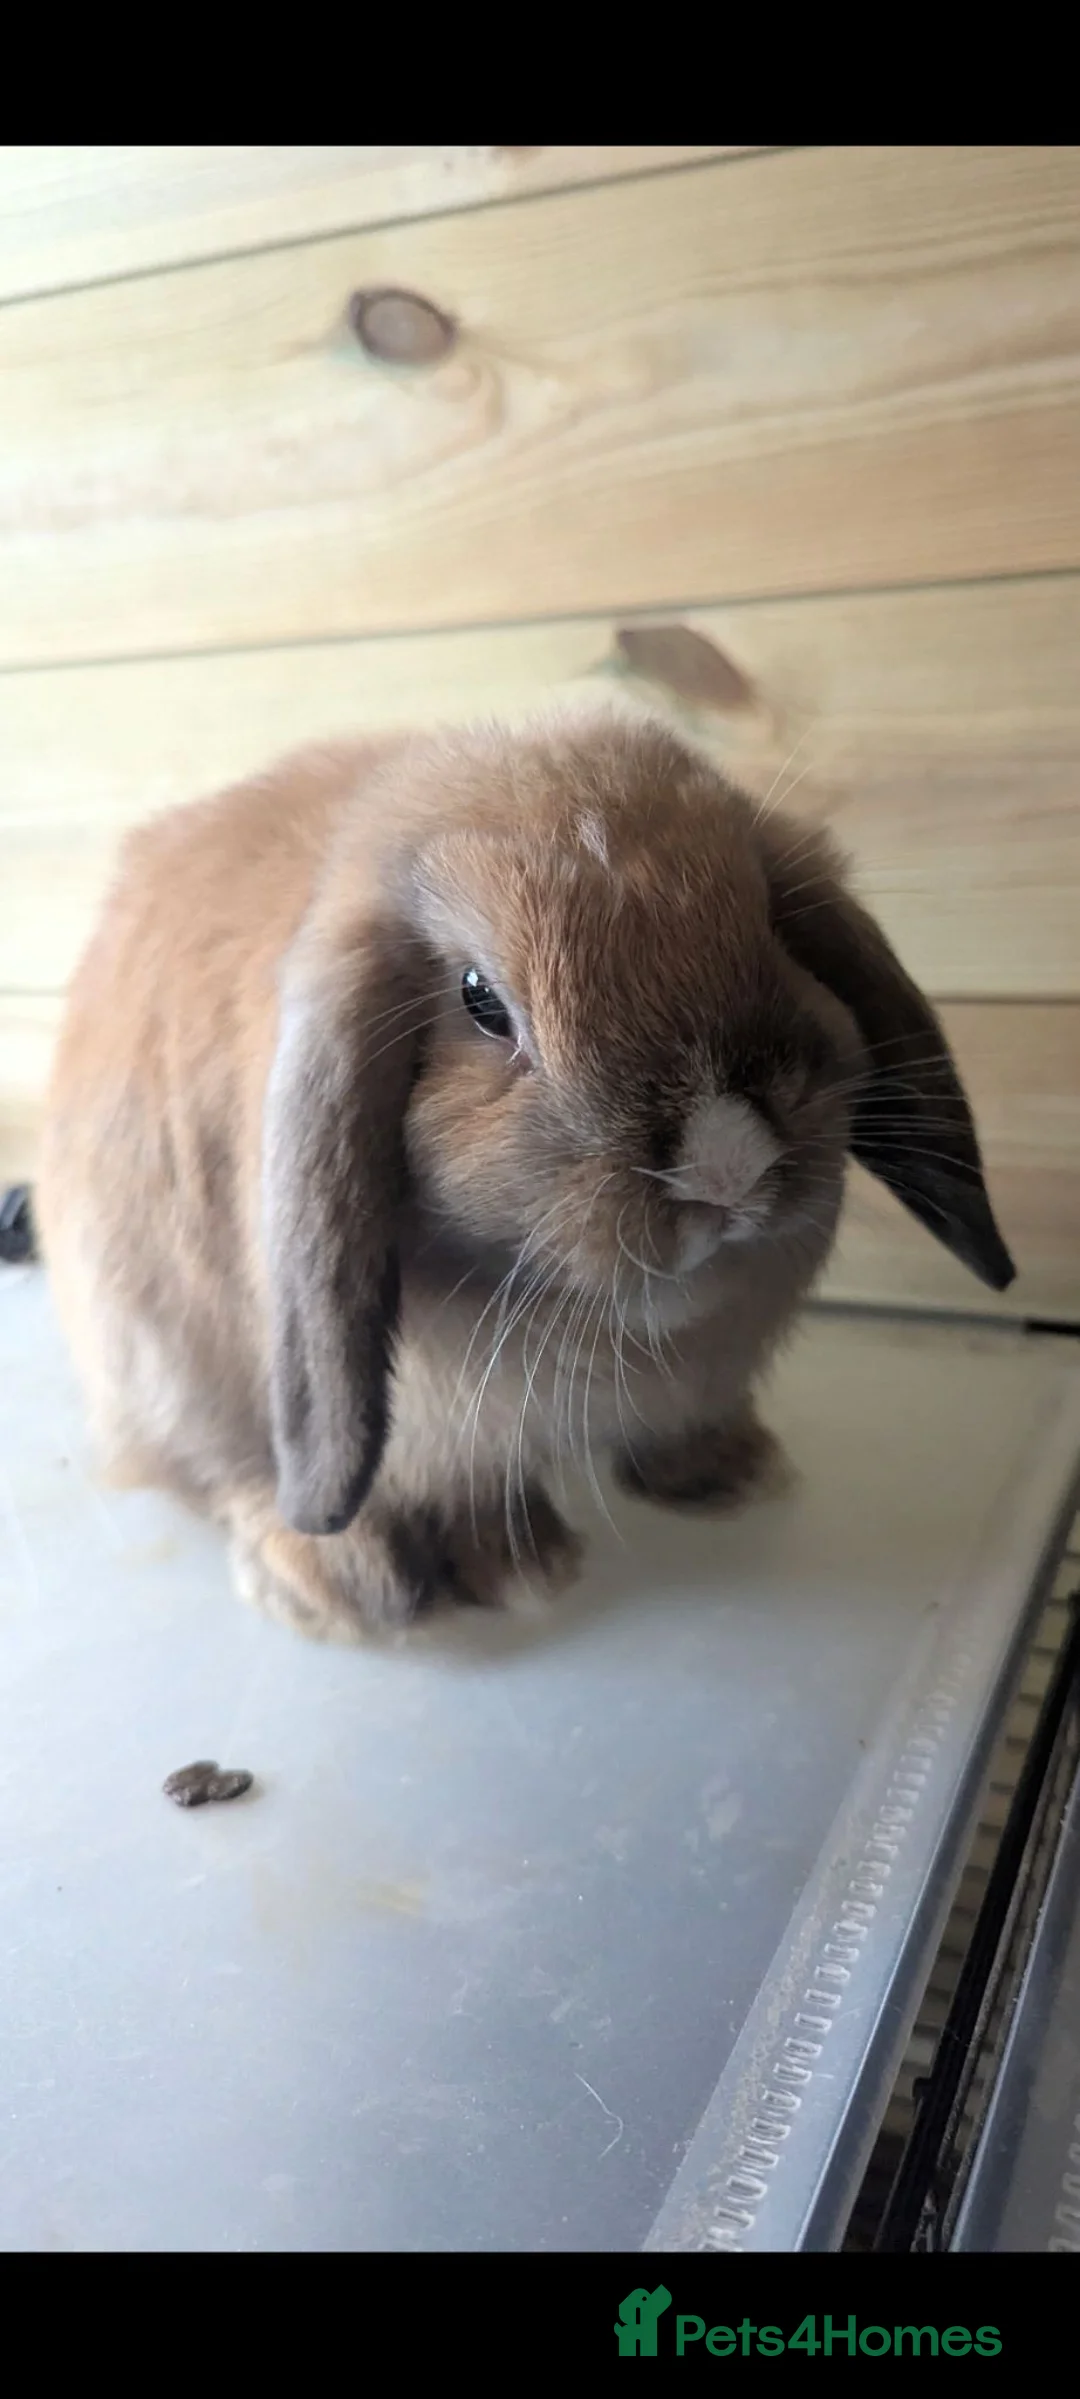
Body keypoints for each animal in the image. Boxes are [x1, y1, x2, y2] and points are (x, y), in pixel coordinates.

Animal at [36, 707, 1015, 1642]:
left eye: (774, 925)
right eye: (481, 1000)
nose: (726, 1165)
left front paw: (725, 1471)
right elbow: (464, 1486)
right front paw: (520, 1568)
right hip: (163, 1356)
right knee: (218, 1469)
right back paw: (345, 1577)